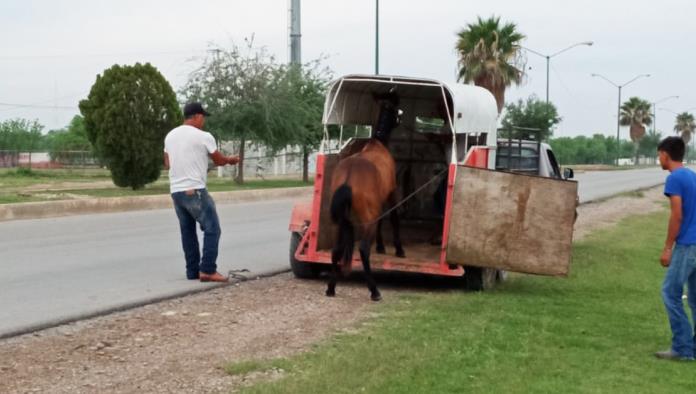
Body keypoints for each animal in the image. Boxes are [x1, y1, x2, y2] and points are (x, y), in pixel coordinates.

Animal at [326, 95, 402, 302]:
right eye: (394, 107)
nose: (400, 116)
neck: (378, 144)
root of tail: (348, 180)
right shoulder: (391, 193)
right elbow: (393, 218)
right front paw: (398, 249)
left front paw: (382, 247)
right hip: (368, 220)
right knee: (363, 250)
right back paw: (374, 290)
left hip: (338, 223)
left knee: (336, 250)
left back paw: (331, 287)